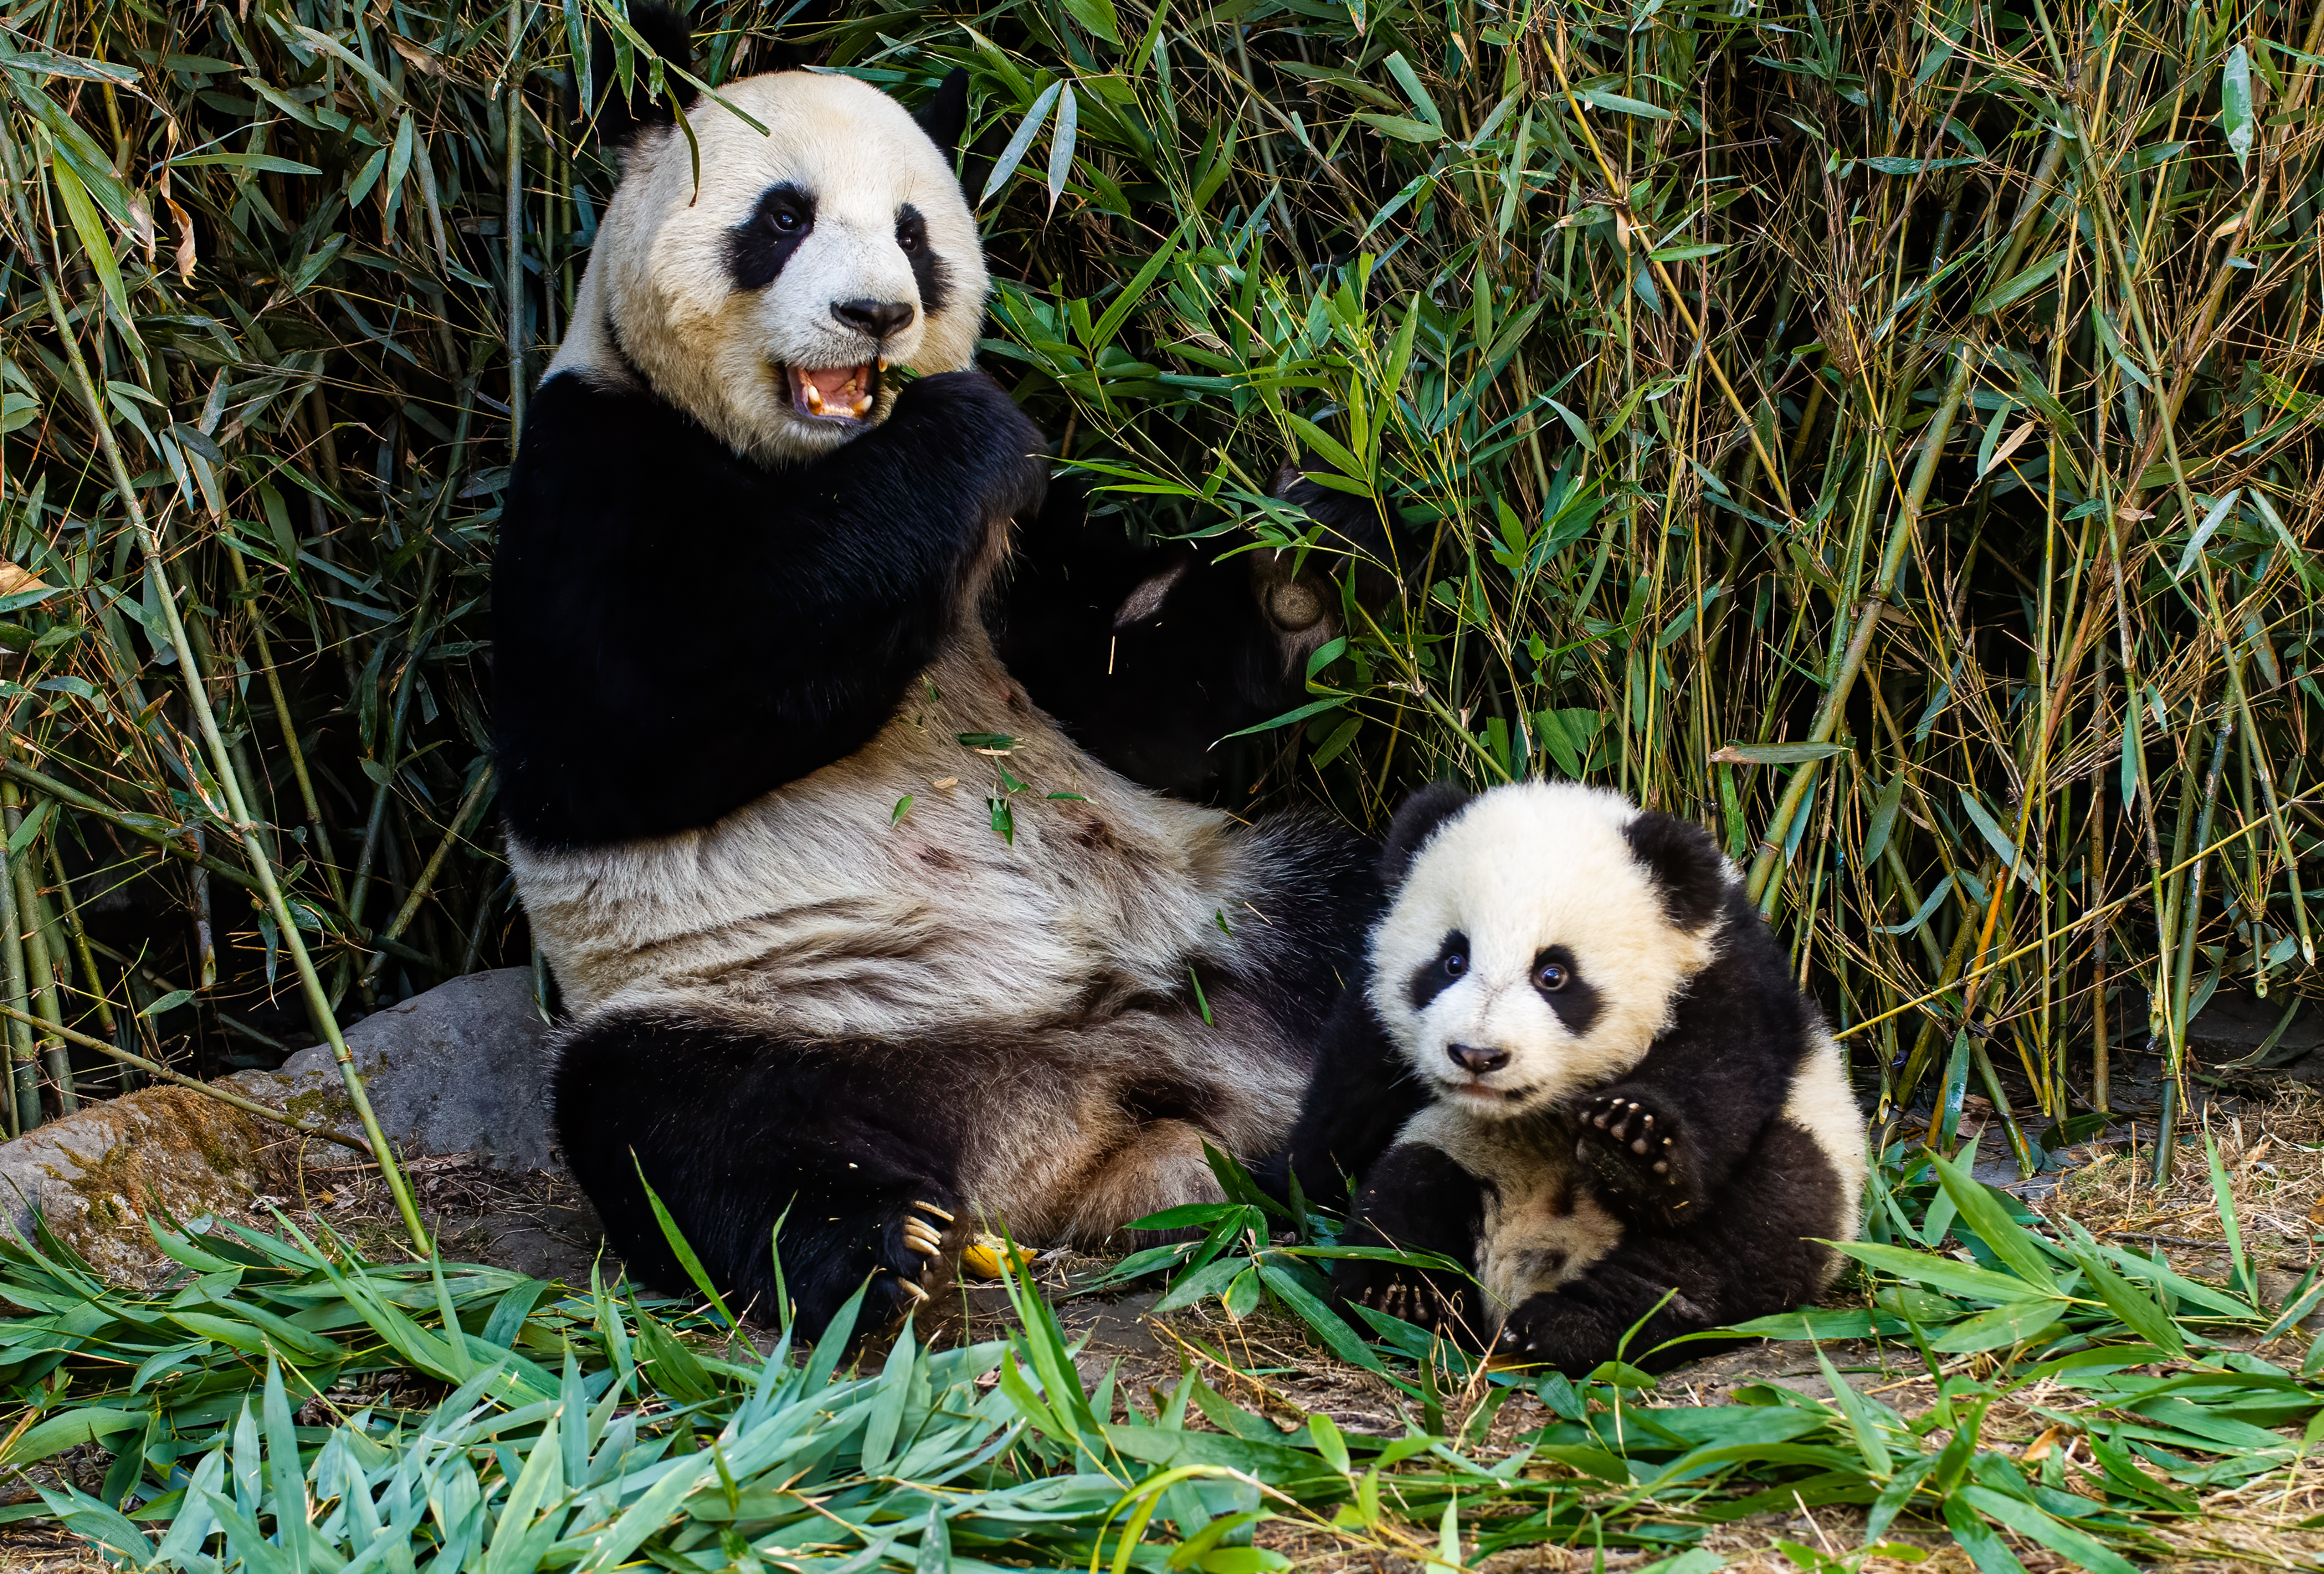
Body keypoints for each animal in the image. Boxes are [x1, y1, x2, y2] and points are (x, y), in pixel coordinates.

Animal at [492, 10, 1376, 1341]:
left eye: (915, 231)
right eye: (783, 217)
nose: (876, 314)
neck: (815, 460)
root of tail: (1101, 1120)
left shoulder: (1030, 556)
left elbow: (1133, 707)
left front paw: (1296, 554)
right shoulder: (589, 461)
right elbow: (621, 725)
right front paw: (959, 430)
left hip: (1236, 905)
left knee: (1403, 907)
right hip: (774, 1002)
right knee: (671, 1116)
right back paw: (878, 1245)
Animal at [1274, 781, 1867, 1374]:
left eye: (1553, 974)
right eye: (1452, 961)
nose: (1477, 1056)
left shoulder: (1727, 981)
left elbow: (1719, 1077)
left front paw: (1631, 1142)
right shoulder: (1372, 1018)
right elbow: (1343, 1117)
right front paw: (1292, 1196)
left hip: (1813, 1157)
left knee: (1740, 1237)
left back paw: (1576, 1324)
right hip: (1458, 1152)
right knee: (1406, 1189)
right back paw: (1403, 1296)